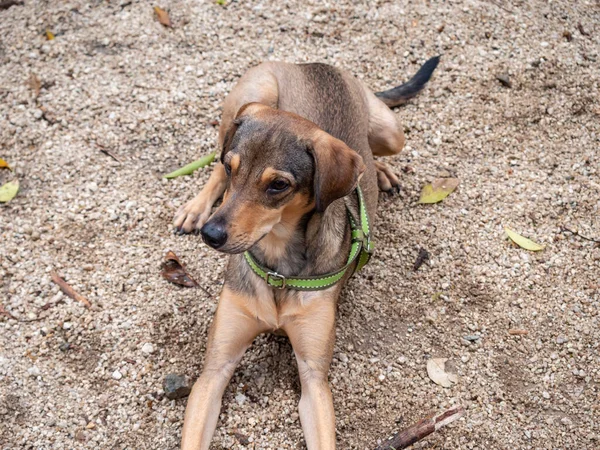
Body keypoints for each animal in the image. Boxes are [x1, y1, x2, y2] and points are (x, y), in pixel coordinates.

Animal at [171, 57, 438, 450]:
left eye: (278, 185)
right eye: (234, 168)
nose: (212, 235)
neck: (278, 268)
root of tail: (314, 63)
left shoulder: (314, 379)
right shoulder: (213, 371)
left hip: (392, 131)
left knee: (371, 154)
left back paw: (381, 171)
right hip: (252, 94)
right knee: (212, 165)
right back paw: (195, 208)